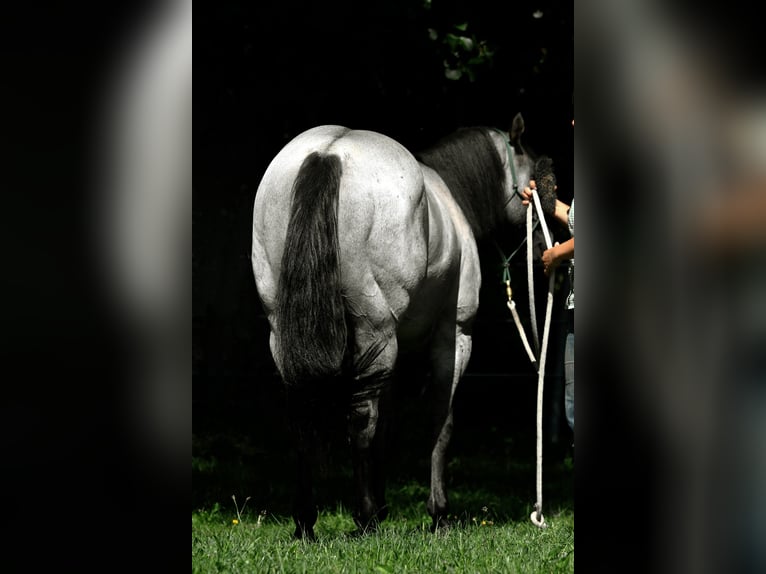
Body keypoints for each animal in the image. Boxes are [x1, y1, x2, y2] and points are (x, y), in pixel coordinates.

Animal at [251, 113, 557, 539]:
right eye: (532, 181)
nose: (546, 244)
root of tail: (328, 154)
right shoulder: (453, 336)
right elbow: (440, 421)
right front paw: (438, 512)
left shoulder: (394, 358)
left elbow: (389, 427)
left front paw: (384, 505)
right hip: (375, 331)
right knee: (360, 418)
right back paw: (363, 518)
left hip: (285, 333)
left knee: (304, 415)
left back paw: (306, 523)